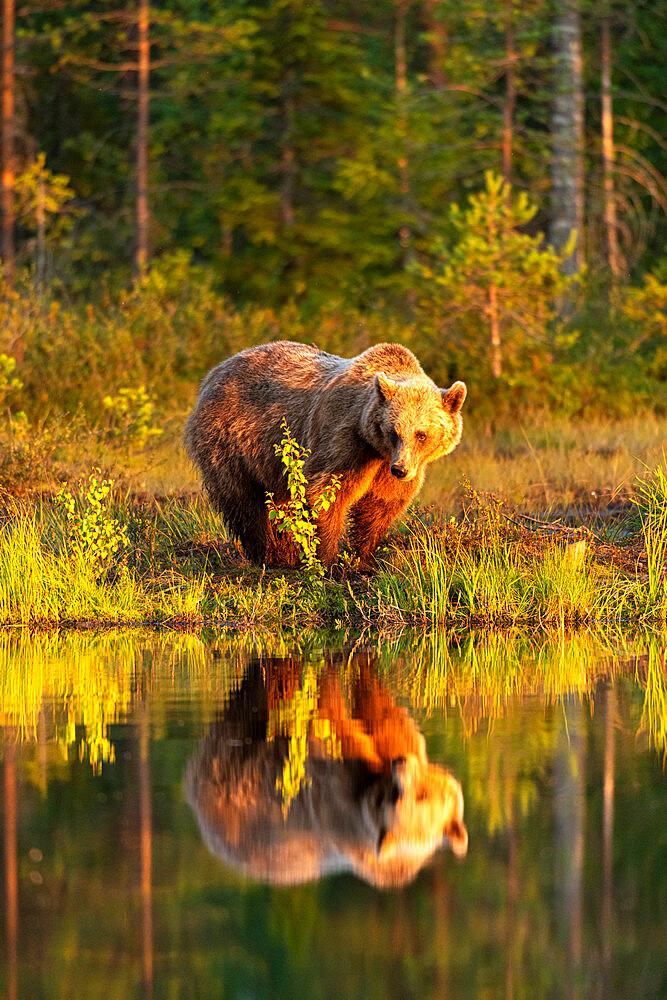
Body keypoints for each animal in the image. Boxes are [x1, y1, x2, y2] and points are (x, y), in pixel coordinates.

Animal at [183, 342, 464, 564]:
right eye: (394, 430)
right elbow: (326, 492)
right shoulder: (344, 438)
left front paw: (364, 557)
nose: (401, 469)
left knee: (278, 502)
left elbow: (381, 502)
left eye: (421, 434)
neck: (375, 447)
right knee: (245, 501)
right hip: (231, 438)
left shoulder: (385, 463)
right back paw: (269, 553)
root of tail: (214, 373)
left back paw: (285, 551)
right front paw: (329, 559)